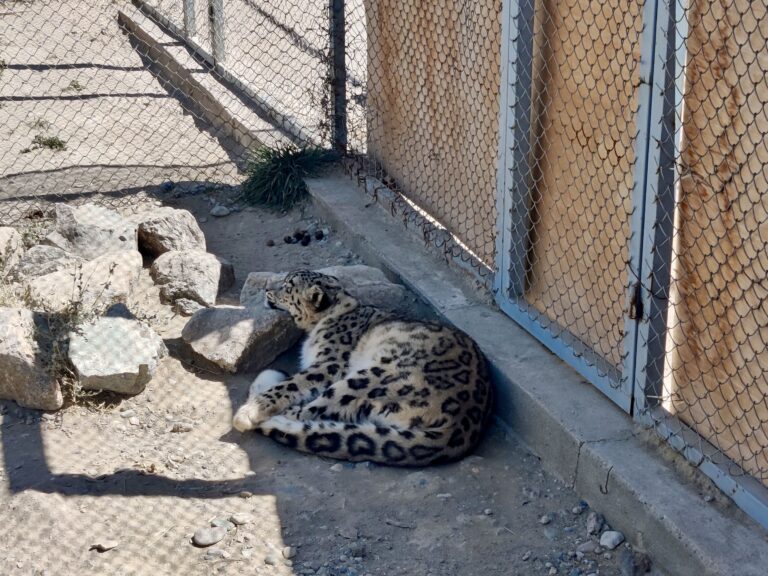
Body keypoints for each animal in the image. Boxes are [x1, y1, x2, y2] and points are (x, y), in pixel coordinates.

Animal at [232, 270, 493, 466]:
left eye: (287, 286)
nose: (268, 291)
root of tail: (462, 425)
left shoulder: (328, 364)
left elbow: (293, 385)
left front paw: (251, 410)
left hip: (372, 378)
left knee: (308, 412)